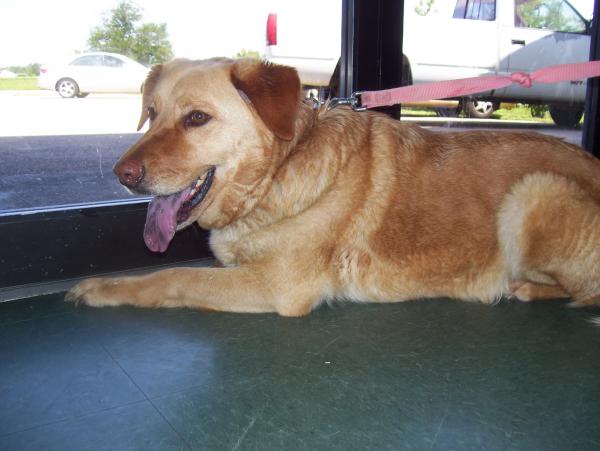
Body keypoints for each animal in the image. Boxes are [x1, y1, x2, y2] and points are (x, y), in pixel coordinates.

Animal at [67, 57, 600, 316]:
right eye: (151, 113)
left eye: (197, 118)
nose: (121, 174)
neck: (277, 173)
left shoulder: (275, 286)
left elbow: (173, 277)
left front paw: (105, 289)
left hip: (533, 192)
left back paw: (526, 288)